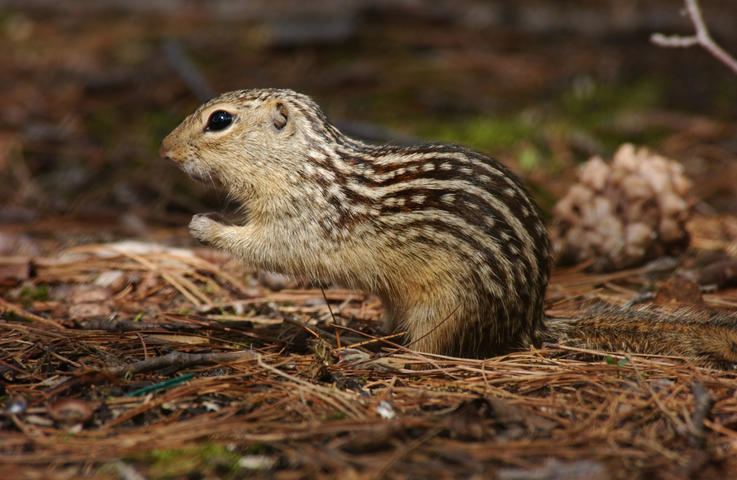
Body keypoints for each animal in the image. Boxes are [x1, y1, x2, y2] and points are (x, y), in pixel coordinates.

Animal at [160, 89, 736, 368]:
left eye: (219, 120)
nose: (164, 150)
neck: (301, 165)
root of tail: (530, 323)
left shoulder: (305, 222)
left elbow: (272, 248)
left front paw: (203, 225)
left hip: (447, 308)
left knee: (432, 352)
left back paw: (378, 358)